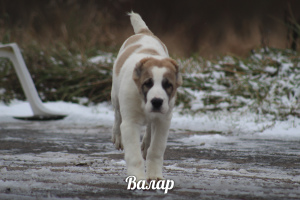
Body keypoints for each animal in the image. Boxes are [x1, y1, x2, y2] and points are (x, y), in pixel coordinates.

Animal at [111, 12, 182, 181]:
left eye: (168, 85)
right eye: (147, 83)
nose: (157, 101)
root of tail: (144, 32)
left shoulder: (163, 121)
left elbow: (156, 149)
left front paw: (155, 176)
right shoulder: (130, 123)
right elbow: (134, 154)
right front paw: (137, 178)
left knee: (150, 127)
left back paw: (146, 143)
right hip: (115, 96)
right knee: (117, 115)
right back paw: (117, 136)